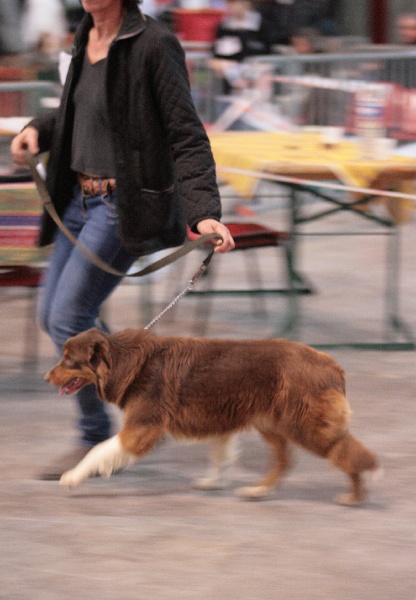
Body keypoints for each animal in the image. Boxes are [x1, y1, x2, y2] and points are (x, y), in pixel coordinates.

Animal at [44, 326, 378, 504]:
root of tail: (332, 365)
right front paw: (214, 482)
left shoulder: (141, 428)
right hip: (271, 424)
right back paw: (258, 490)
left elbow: (98, 451)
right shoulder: (220, 418)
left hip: (305, 426)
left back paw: (355, 495)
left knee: (346, 452)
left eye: (68, 360)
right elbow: (221, 455)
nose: (47, 377)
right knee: (285, 461)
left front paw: (72, 477)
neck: (126, 361)